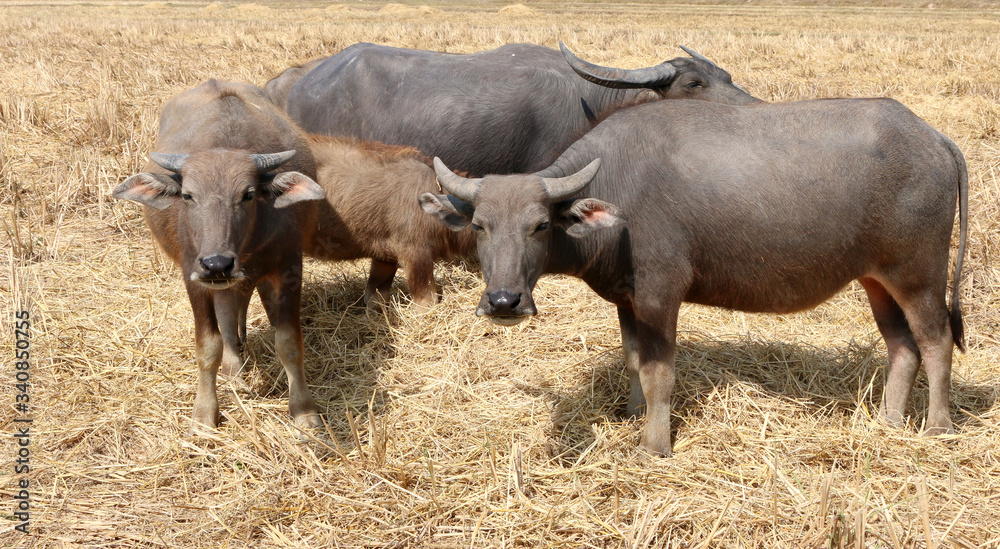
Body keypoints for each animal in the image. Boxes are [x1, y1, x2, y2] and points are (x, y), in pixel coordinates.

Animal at [422, 97, 968, 454]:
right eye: (479, 225)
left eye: (538, 225)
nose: (504, 302)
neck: (618, 195)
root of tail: (936, 139)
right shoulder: (627, 300)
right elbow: (634, 360)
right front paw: (633, 413)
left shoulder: (661, 295)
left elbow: (660, 372)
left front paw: (653, 443)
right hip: (877, 280)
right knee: (903, 347)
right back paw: (889, 422)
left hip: (918, 275)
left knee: (936, 340)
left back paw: (938, 426)